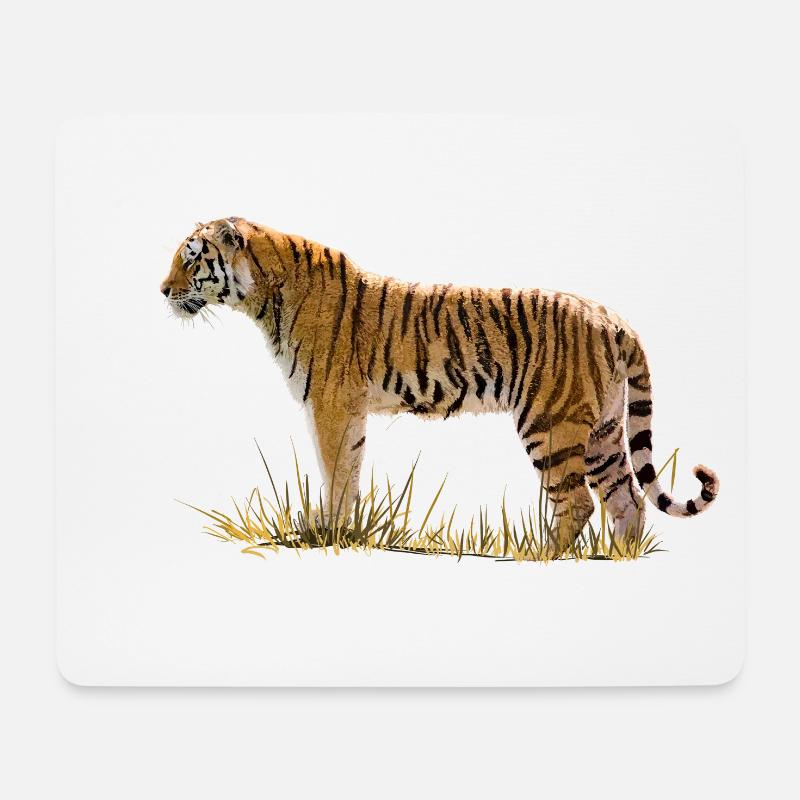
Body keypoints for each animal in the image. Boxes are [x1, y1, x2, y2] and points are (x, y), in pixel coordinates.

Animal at [160, 217, 719, 555]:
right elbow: (349, 471)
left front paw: (327, 532)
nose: (162, 290)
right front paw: (336, 528)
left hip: (551, 424)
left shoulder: (330, 405)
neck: (263, 295)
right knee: (628, 500)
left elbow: (335, 472)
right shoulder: (349, 410)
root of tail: (614, 319)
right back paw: (619, 561)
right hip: (603, 431)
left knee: (578, 502)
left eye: (191, 258)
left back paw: (540, 558)